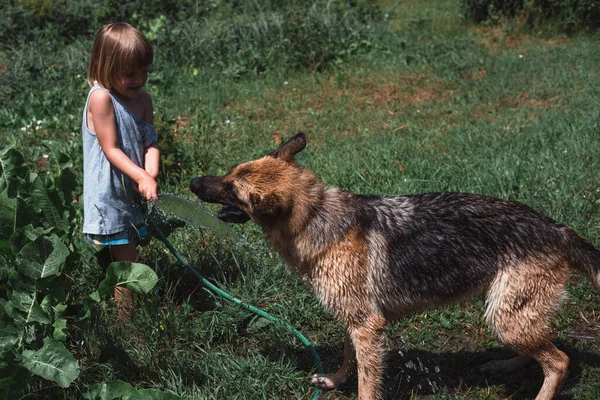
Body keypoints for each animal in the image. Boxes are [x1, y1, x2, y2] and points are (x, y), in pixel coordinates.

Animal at [191, 133, 600, 398]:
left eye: (232, 190)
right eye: (229, 173)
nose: (194, 182)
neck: (316, 217)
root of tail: (557, 229)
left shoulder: (367, 326)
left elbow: (367, 383)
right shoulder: (356, 319)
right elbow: (349, 359)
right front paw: (334, 382)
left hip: (506, 318)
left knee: (558, 361)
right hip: (506, 315)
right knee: (539, 351)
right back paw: (505, 365)